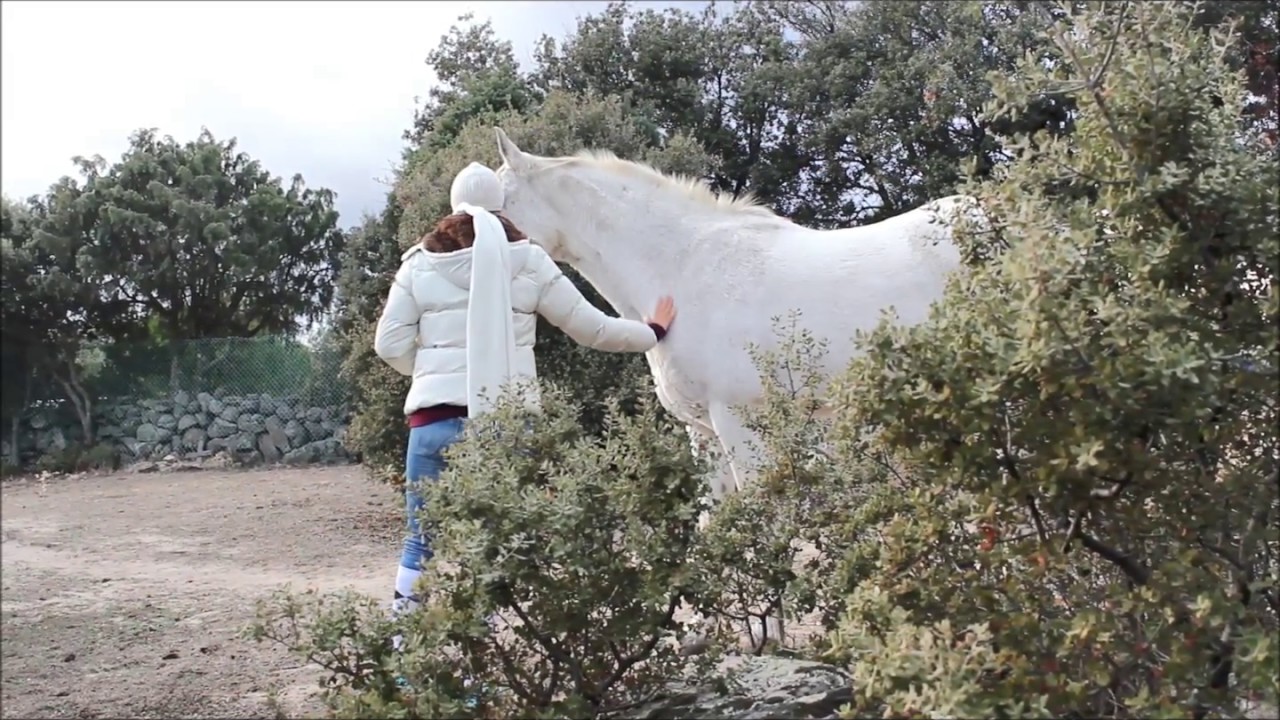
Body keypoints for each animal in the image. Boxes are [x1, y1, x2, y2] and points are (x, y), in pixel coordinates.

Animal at [491, 127, 982, 645]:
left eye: (497, 207)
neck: (682, 269)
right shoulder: (702, 431)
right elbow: (714, 520)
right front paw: (710, 631)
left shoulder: (739, 423)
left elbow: (759, 517)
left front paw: (768, 630)